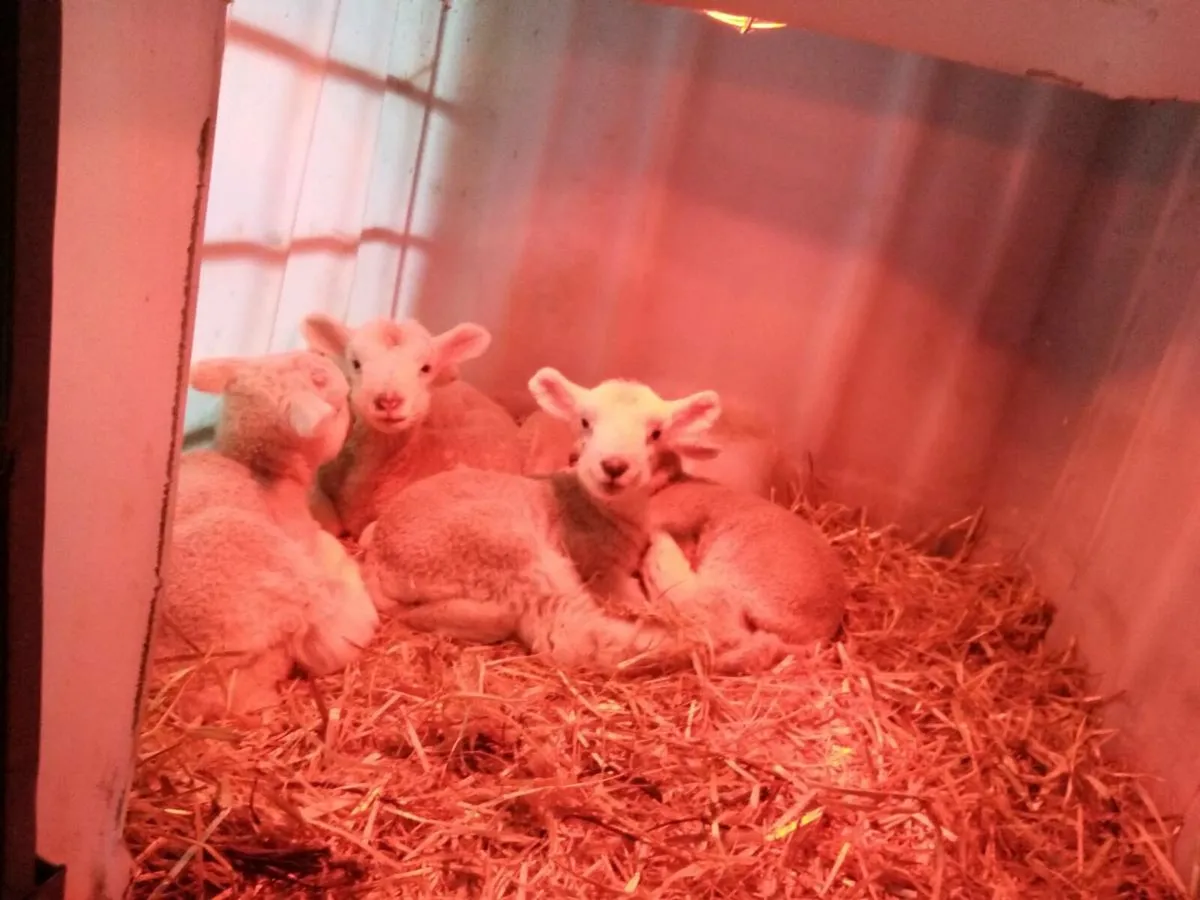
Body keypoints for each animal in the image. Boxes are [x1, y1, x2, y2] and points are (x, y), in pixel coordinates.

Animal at [358, 369, 785, 674]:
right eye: (584, 422)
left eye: (656, 433)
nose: (614, 466)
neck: (594, 508)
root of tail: (381, 563)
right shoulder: (601, 570)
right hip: (507, 551)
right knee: (579, 636)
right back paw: (731, 646)